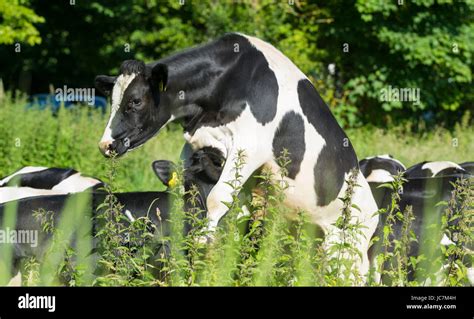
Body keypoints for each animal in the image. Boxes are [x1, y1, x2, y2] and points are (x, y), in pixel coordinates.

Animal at [94, 33, 380, 278]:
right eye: (112, 100)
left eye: (135, 101)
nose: (105, 144)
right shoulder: (196, 142)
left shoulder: (250, 145)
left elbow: (218, 197)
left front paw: (203, 239)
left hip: (349, 248)